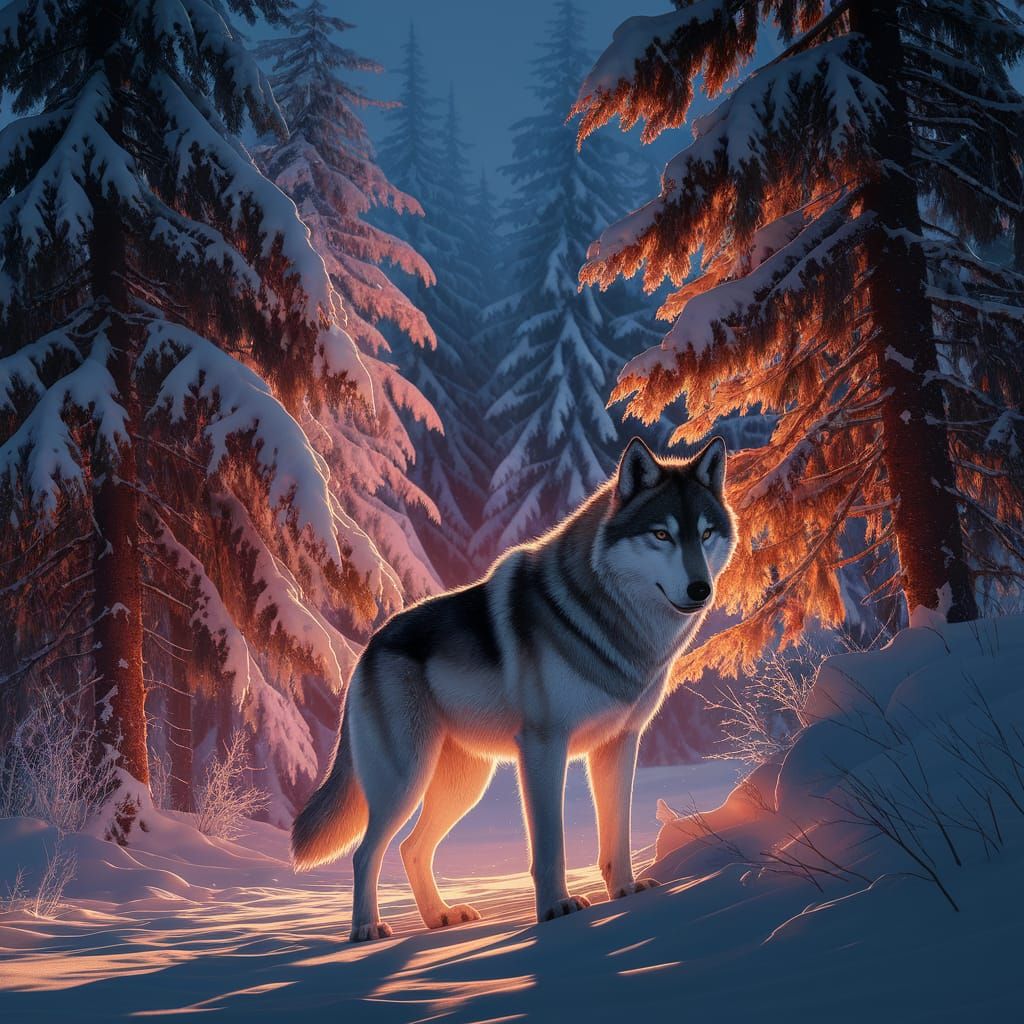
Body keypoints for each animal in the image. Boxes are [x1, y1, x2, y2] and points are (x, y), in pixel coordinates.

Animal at [291, 436, 736, 941]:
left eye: (705, 533)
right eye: (661, 535)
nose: (701, 589)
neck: (613, 624)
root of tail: (367, 649)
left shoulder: (620, 744)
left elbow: (617, 834)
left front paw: (625, 892)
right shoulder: (544, 746)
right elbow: (549, 843)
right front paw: (557, 909)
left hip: (463, 785)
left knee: (411, 849)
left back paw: (440, 917)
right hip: (405, 780)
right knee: (366, 853)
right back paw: (366, 930)